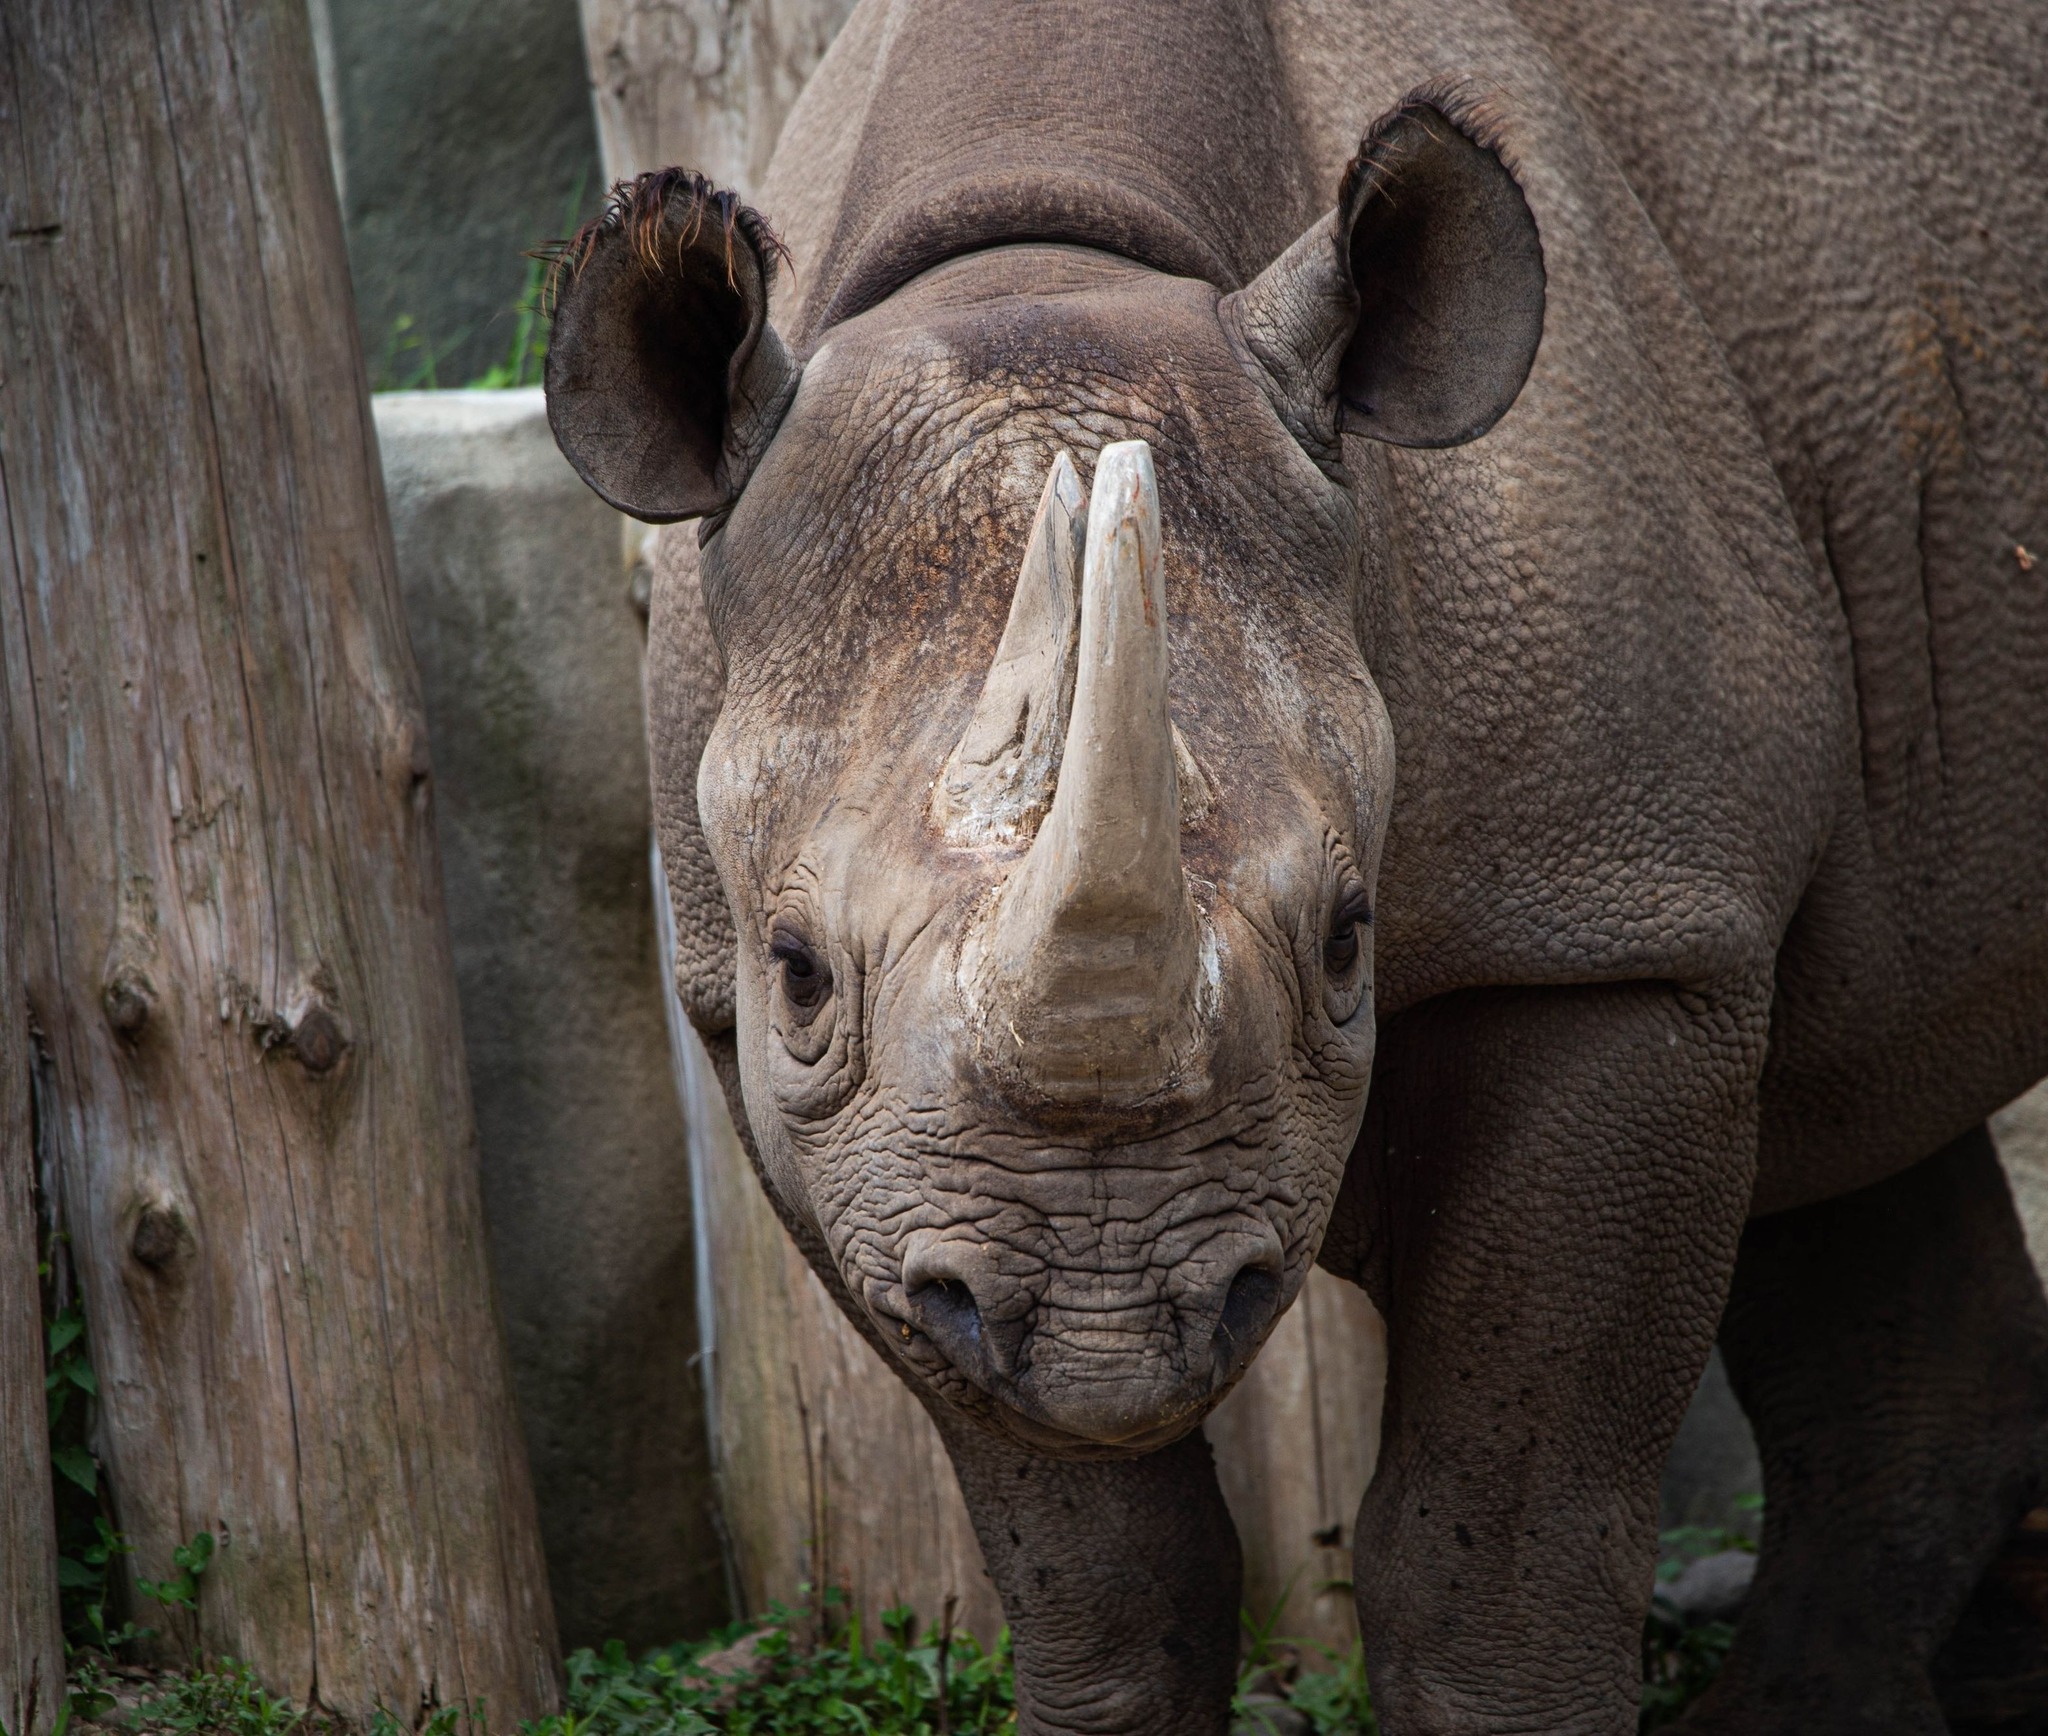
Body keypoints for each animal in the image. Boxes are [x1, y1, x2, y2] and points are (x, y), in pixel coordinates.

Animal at [542, 0, 2048, 1728]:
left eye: (1345, 943)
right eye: (797, 977)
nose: (1111, 1320)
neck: (1045, 260)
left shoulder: (1616, 932)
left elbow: (1496, 1546)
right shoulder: (818, 1119)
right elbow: (1100, 1576)